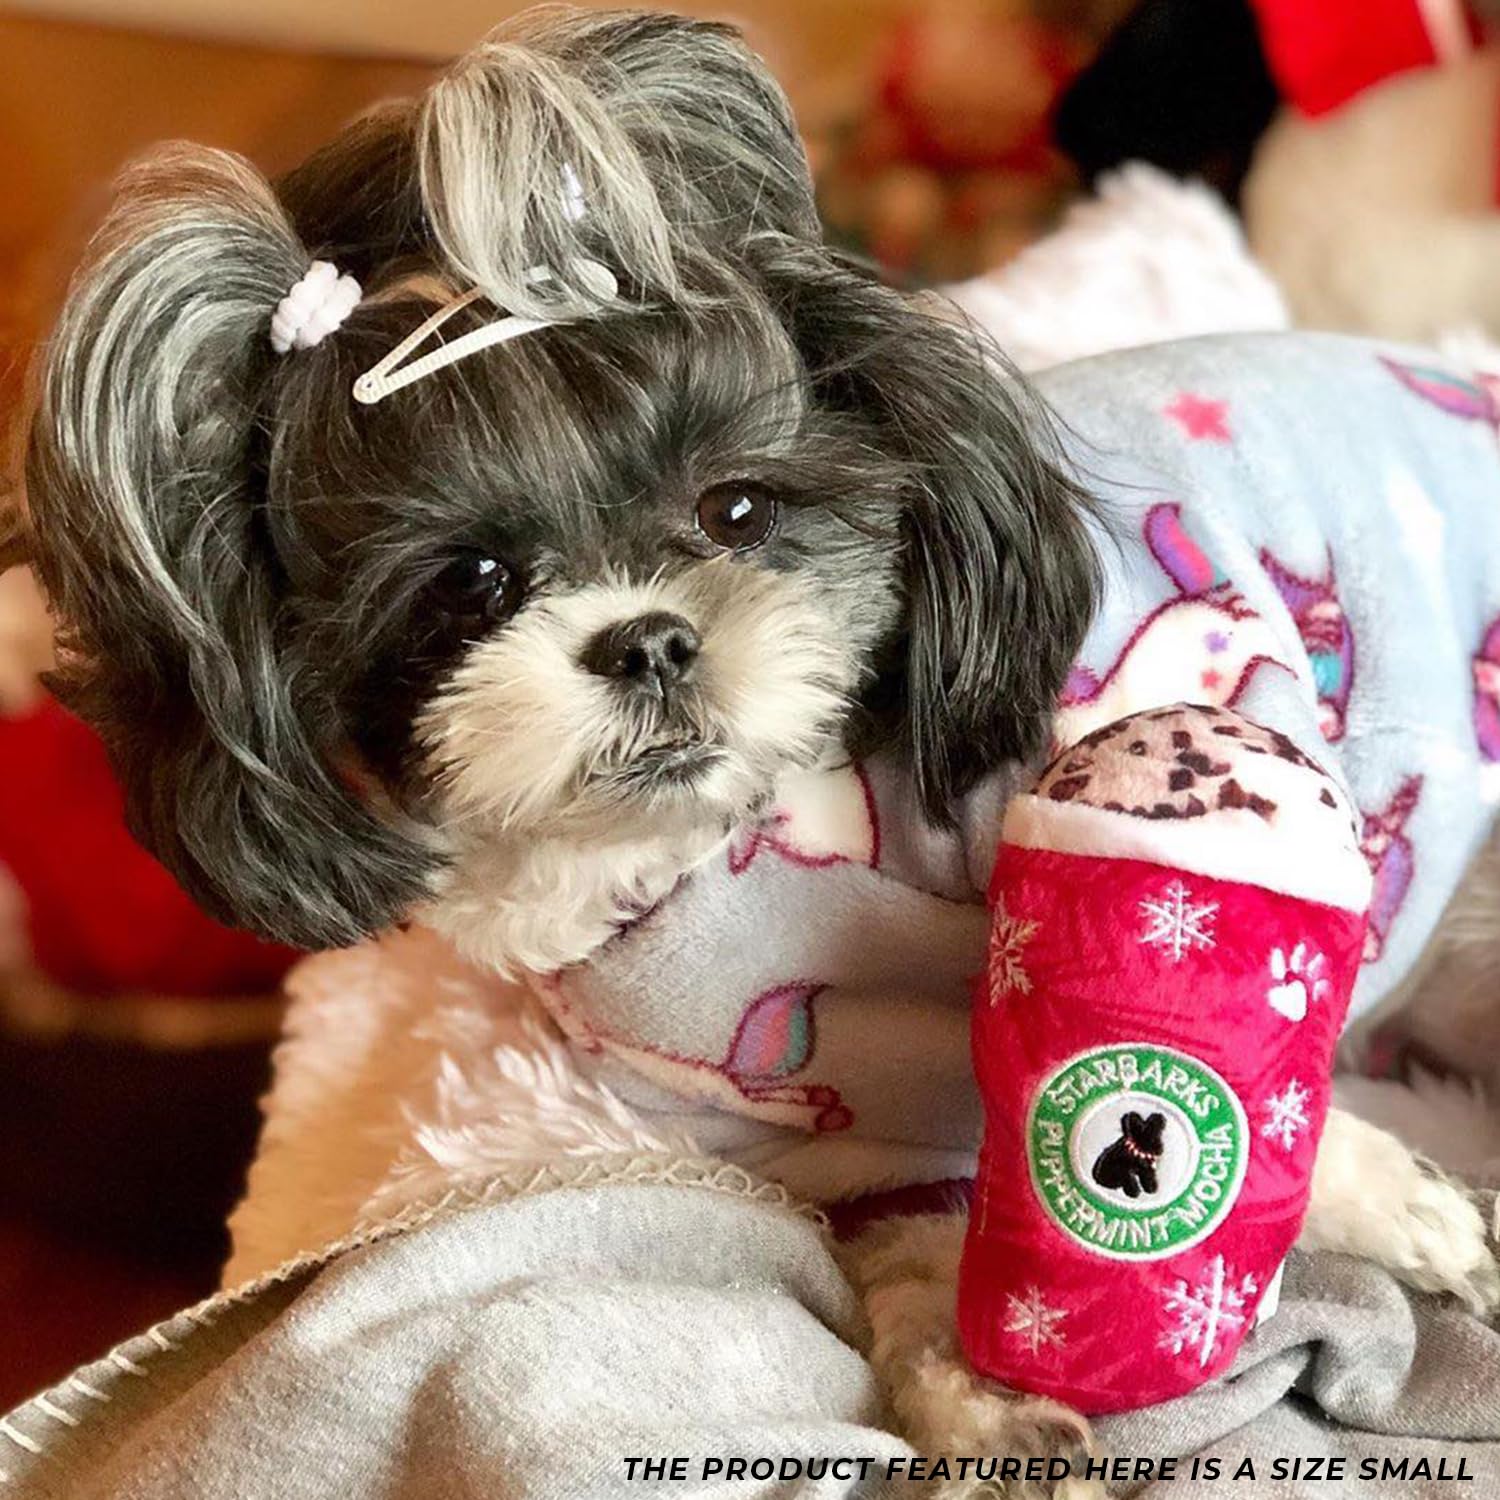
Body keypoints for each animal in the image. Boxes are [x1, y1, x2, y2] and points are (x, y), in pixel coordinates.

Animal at [13, 8, 1500, 1489]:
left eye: (736, 510)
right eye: (474, 583)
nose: (648, 639)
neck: (740, 856)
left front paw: (1398, 1210)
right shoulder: (835, 1117)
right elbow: (922, 1235)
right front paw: (980, 1398)